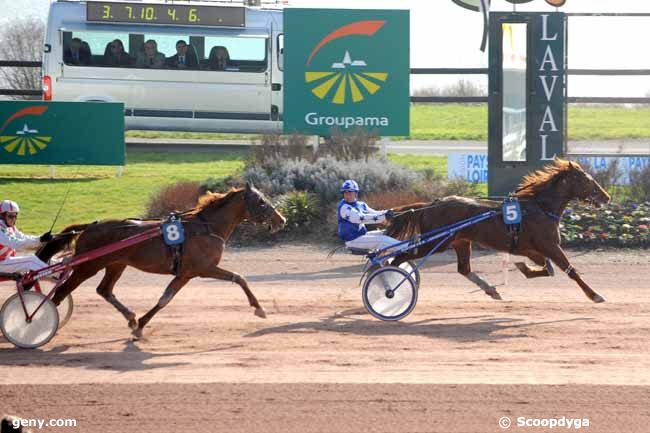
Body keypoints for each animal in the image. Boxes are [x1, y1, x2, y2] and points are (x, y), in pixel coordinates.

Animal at [48, 182, 284, 338]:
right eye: (262, 202)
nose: (281, 220)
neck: (205, 227)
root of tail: (90, 226)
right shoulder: (202, 269)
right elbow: (239, 278)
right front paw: (259, 308)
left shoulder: (185, 273)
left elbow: (165, 298)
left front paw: (139, 325)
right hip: (87, 266)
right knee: (61, 293)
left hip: (116, 264)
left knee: (104, 290)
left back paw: (130, 316)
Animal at [388, 157, 612, 302]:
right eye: (587, 180)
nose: (606, 196)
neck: (540, 207)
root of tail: (432, 204)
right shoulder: (550, 245)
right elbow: (569, 270)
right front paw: (595, 295)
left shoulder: (530, 248)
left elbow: (547, 269)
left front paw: (524, 268)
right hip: (436, 242)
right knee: (399, 257)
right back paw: (390, 283)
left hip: (460, 241)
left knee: (464, 269)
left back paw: (491, 290)